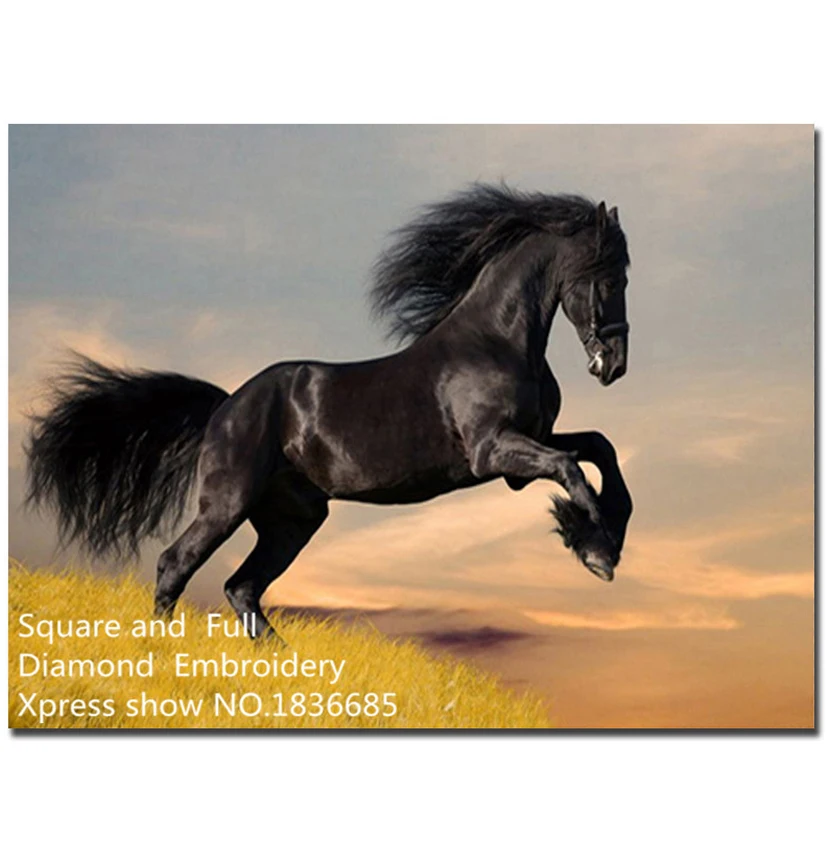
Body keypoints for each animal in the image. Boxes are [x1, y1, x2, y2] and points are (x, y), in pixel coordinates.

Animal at [25, 184, 634, 642]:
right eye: (609, 276)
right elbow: (573, 468)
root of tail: (226, 405)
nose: (614, 364)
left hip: (294, 518)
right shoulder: (493, 452)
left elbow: (600, 448)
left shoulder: (527, 449)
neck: (495, 342)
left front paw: (603, 536)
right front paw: (596, 550)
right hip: (228, 502)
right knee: (177, 564)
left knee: (242, 587)